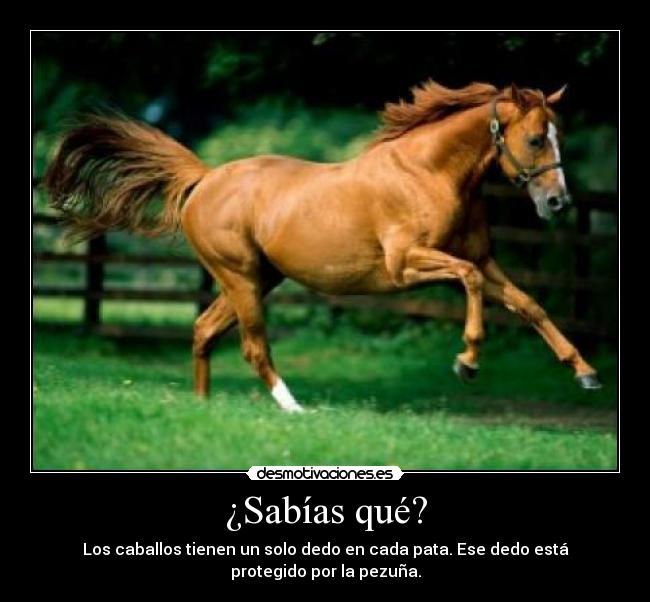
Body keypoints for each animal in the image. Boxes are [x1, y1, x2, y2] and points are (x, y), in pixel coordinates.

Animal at [43, 80, 602, 413]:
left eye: (559, 136)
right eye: (536, 139)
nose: (559, 202)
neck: (429, 173)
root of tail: (204, 179)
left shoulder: (485, 260)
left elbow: (528, 304)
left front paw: (586, 374)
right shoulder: (408, 266)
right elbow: (467, 283)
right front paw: (467, 362)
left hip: (258, 278)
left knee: (203, 329)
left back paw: (203, 405)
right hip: (241, 279)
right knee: (253, 346)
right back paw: (294, 409)